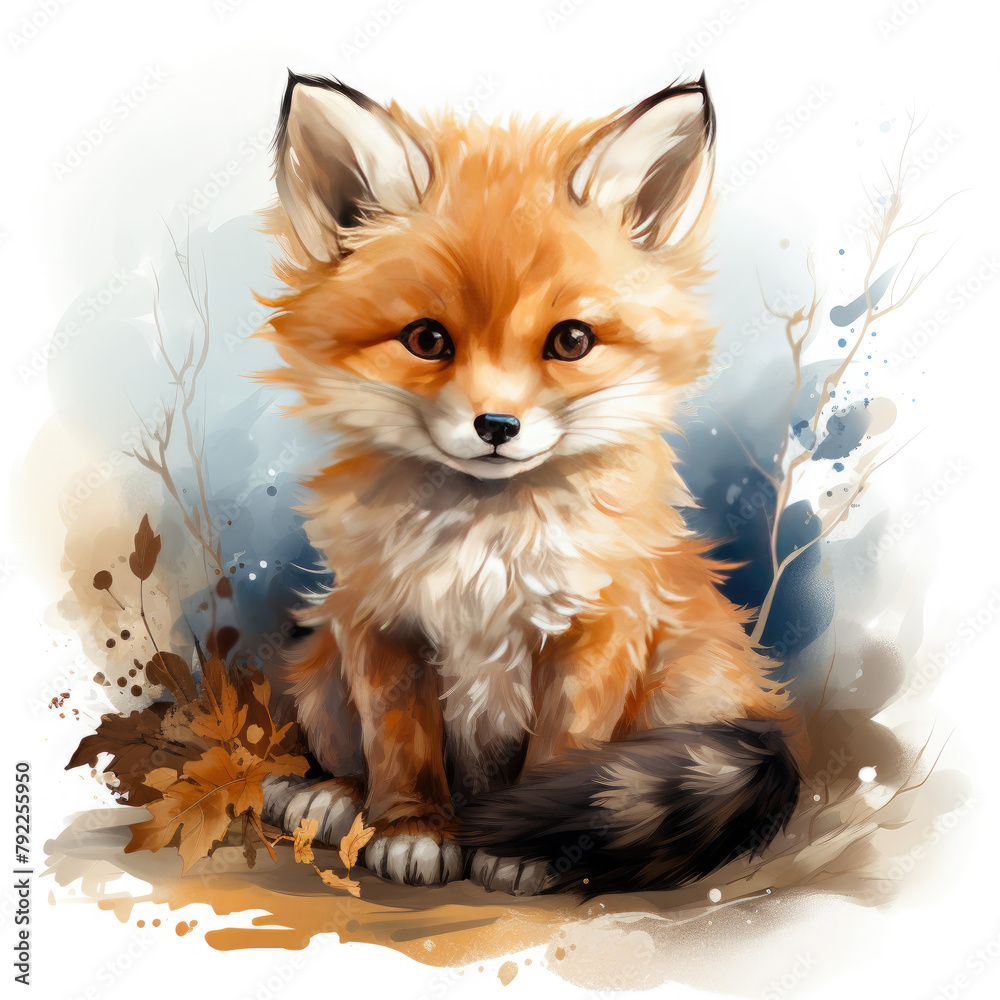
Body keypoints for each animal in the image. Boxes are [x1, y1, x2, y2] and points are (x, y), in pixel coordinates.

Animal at [257, 71, 806, 896]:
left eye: (570, 340)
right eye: (427, 339)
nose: (496, 426)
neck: (486, 545)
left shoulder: (598, 628)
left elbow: (565, 754)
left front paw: (529, 850)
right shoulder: (382, 623)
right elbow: (400, 748)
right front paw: (413, 828)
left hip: (688, 682)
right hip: (320, 666)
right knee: (347, 753)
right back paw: (333, 797)